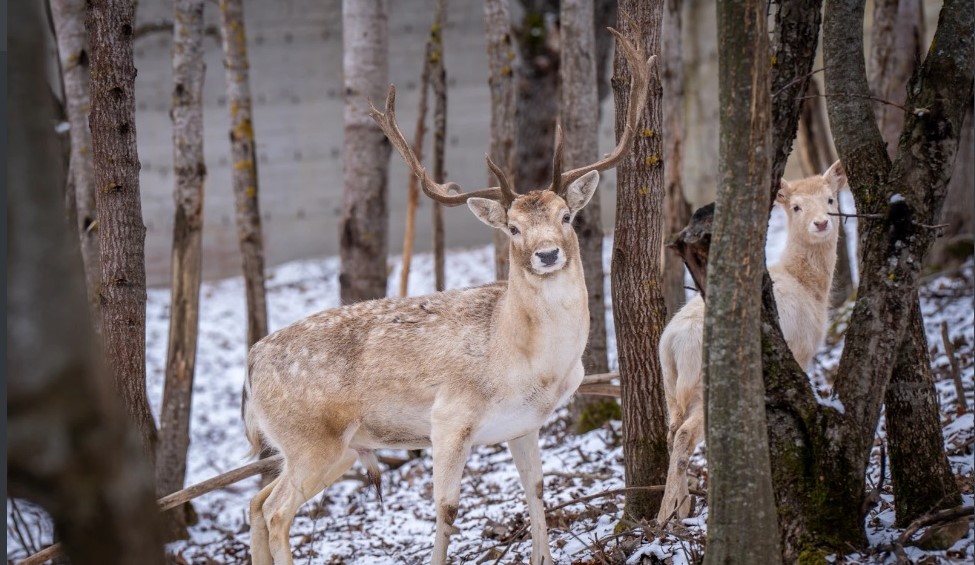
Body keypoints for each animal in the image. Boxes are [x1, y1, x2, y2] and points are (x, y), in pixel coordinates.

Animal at [242, 30, 656, 564]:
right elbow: (446, 510)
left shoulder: (523, 425)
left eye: (566, 216)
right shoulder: (448, 418)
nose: (546, 254)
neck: (524, 360)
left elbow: (537, 491)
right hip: (313, 439)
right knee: (276, 511)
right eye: (513, 227)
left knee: (256, 501)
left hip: (327, 448)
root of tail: (251, 361)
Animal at [656, 161, 848, 524]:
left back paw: (679, 507)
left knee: (672, 432)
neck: (811, 289)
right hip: (704, 385)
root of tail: (674, 341)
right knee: (685, 434)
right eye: (796, 206)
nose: (821, 222)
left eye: (830, 198)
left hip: (669, 385)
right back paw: (666, 517)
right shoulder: (802, 351)